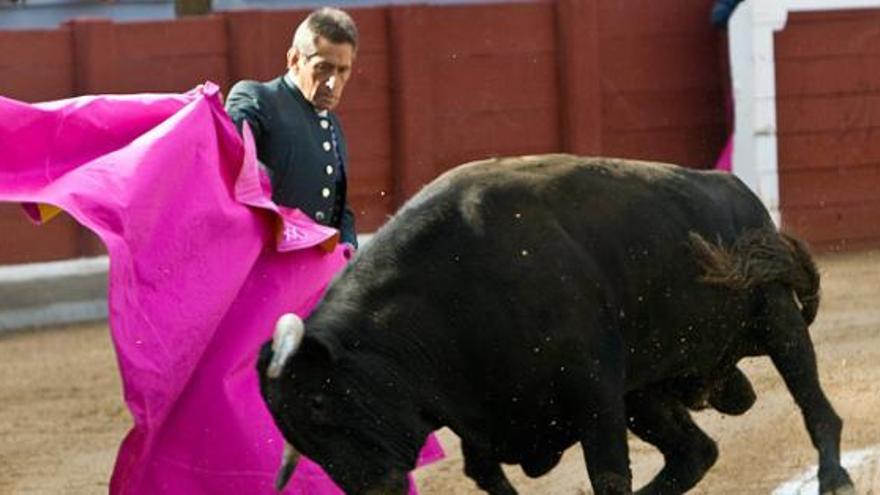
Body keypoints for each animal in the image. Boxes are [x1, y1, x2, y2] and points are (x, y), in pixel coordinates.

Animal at [254, 157, 852, 495]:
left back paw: (836, 479)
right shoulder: (481, 420)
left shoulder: (595, 390)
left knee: (815, 406)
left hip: (777, 320)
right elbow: (487, 475)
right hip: (647, 392)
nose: (372, 490)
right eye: (293, 436)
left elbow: (608, 474)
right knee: (694, 453)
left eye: (319, 403)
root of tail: (735, 190)